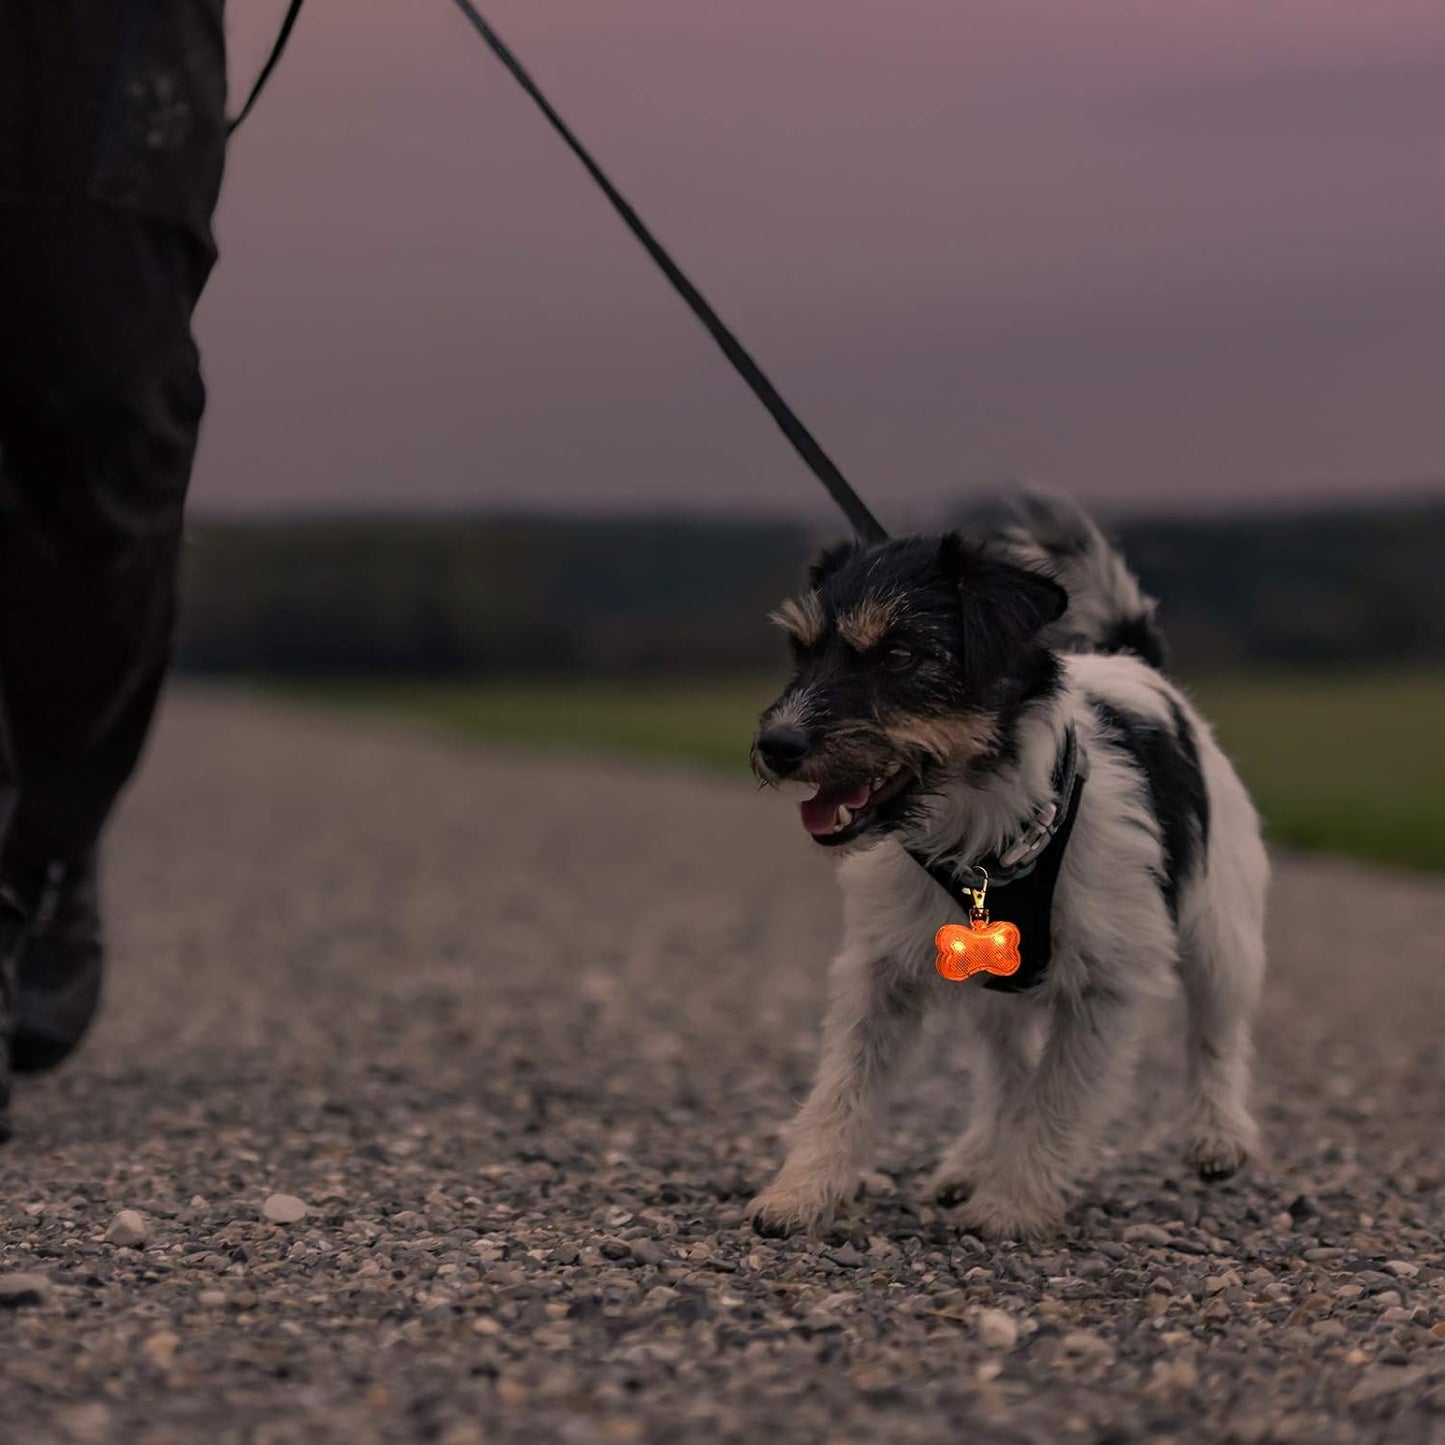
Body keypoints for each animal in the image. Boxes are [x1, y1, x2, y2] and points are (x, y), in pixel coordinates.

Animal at [745, 497, 1265, 1242]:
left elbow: (1056, 1100)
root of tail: (1135, 659)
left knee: (1216, 1031)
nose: (776, 745)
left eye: (899, 654)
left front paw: (1012, 1205)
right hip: (996, 979)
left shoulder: (1104, 987)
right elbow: (844, 1085)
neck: (981, 834)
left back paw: (1219, 1135)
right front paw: (802, 1190)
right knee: (1006, 1071)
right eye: (802, 650)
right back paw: (971, 1159)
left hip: (1222, 928)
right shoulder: (878, 970)